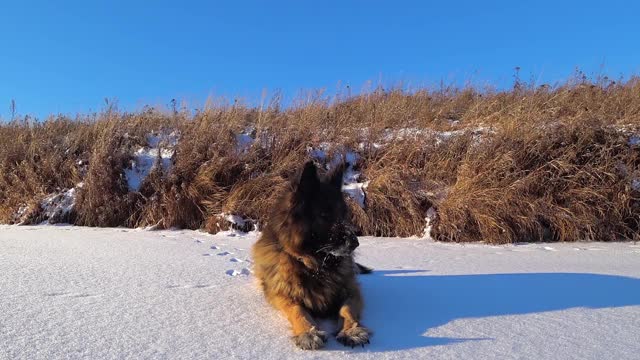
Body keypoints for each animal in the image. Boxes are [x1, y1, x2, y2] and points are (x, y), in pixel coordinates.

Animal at [252, 162, 372, 350]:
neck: (315, 265)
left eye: (343, 215)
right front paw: (308, 332)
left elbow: (347, 309)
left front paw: (352, 331)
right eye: (324, 215)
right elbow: (297, 310)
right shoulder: (282, 294)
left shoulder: (351, 290)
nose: (355, 243)